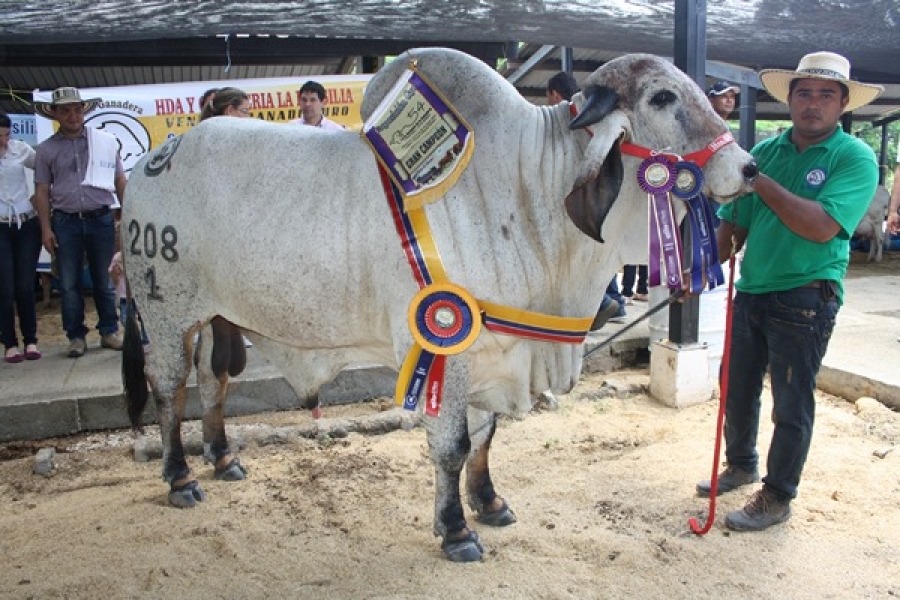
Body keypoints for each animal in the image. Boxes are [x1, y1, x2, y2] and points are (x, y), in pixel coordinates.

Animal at [119, 48, 752, 564]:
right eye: (663, 97)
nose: (747, 167)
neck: (528, 189)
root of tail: (154, 158)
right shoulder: (448, 348)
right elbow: (452, 447)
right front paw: (455, 530)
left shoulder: (494, 349)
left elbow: (486, 435)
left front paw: (489, 502)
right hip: (165, 310)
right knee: (169, 388)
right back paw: (180, 477)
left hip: (216, 315)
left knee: (214, 378)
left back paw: (223, 457)